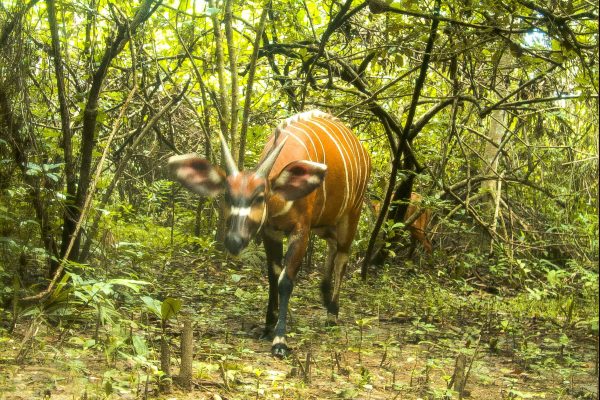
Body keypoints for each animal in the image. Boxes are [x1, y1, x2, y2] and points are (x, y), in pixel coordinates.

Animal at [169, 109, 370, 356]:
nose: (234, 241)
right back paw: (324, 294)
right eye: (227, 195)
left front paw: (280, 340)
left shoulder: (300, 231)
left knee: (342, 255)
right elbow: (273, 276)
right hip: (325, 222)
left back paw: (332, 313)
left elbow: (285, 280)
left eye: (259, 196)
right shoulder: (270, 232)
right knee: (332, 246)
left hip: (352, 213)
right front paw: (267, 327)